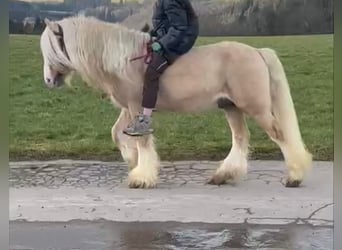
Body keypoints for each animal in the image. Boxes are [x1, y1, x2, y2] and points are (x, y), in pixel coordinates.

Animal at [39, 15, 312, 188]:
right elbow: (117, 133)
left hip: (256, 108)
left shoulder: (137, 108)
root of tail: (257, 52)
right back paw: (224, 175)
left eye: (52, 48)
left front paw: (141, 177)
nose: (49, 81)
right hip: (231, 107)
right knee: (240, 138)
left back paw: (294, 177)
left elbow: (142, 140)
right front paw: (133, 162)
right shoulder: (129, 109)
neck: (125, 60)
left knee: (279, 135)